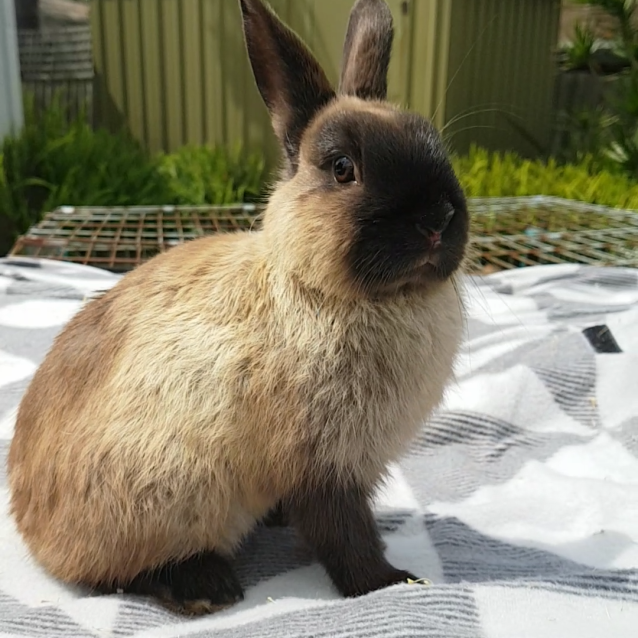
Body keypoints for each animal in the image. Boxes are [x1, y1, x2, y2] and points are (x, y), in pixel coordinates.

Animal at [8, 0, 470, 620]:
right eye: (342, 167)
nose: (438, 218)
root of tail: (31, 524)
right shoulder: (323, 465)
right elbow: (344, 535)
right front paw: (391, 584)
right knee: (118, 573)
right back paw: (206, 586)